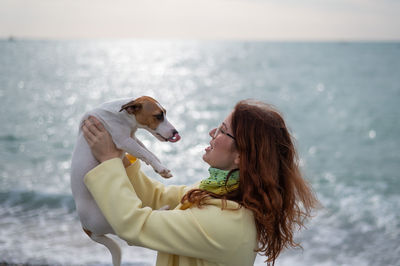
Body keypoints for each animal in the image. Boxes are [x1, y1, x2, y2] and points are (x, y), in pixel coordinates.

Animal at [70, 95, 180, 266]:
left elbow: (148, 152)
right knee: (129, 235)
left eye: (165, 113)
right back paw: (162, 210)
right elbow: (145, 152)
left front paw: (159, 167)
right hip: (109, 218)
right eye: (158, 116)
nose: (176, 132)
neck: (123, 116)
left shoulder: (132, 138)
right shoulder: (124, 140)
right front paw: (160, 168)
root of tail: (86, 228)